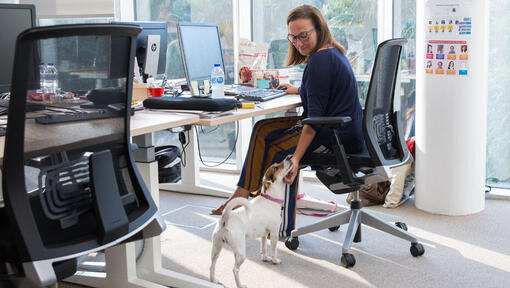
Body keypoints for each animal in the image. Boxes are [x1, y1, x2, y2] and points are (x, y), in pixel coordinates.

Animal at [209, 155, 292, 288]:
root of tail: (225, 219)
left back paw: (213, 281)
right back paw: (240, 285)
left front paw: (265, 258)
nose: (289, 156)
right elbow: (274, 250)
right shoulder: (274, 234)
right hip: (240, 253)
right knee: (235, 270)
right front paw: (275, 261)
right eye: (276, 167)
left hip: (216, 247)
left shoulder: (264, 234)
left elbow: (263, 248)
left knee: (212, 266)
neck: (270, 199)